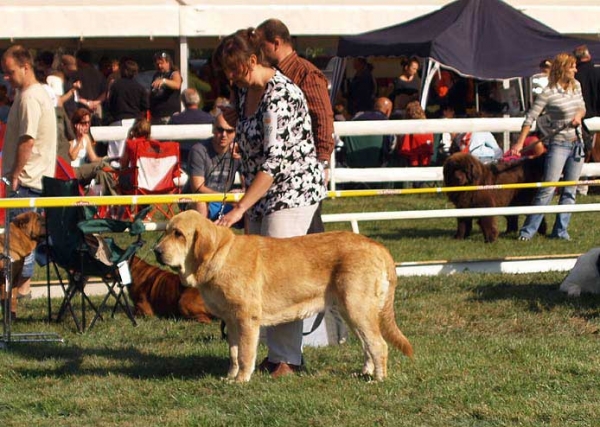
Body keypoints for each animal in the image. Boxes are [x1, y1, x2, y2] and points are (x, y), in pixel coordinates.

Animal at [154, 211, 412, 384]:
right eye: (165, 232)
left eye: (178, 234)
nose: (156, 251)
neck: (220, 256)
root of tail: (377, 246)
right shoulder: (232, 321)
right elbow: (234, 354)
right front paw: (230, 377)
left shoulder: (247, 320)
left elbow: (245, 354)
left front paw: (241, 380)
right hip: (351, 312)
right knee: (368, 344)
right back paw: (366, 372)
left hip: (357, 308)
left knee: (379, 344)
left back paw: (378, 379)